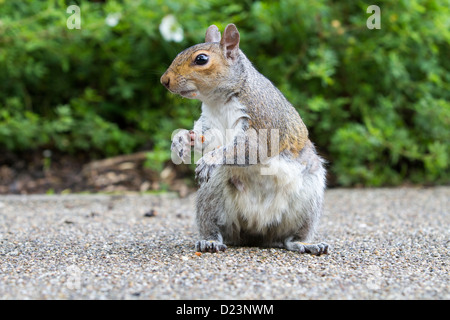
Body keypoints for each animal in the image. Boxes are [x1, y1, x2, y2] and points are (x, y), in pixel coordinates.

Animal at [160, 24, 328, 255]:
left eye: (201, 59)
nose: (164, 81)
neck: (218, 101)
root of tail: (257, 232)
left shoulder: (263, 120)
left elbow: (250, 147)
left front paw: (210, 160)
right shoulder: (211, 126)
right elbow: (203, 138)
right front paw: (181, 139)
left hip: (309, 199)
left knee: (290, 238)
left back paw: (305, 244)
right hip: (211, 195)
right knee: (214, 226)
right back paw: (209, 241)